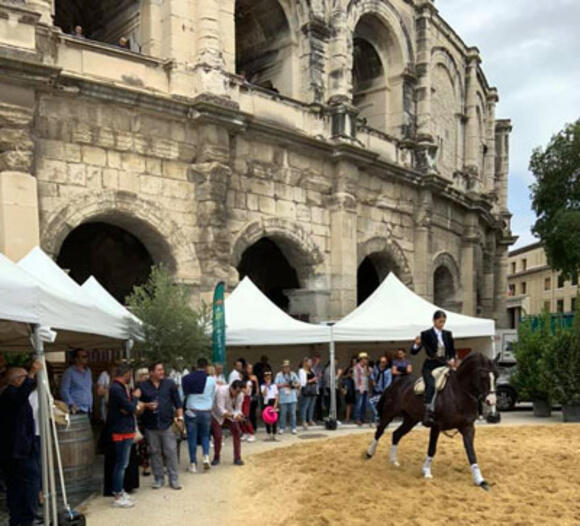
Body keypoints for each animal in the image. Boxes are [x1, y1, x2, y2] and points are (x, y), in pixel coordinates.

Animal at [368, 352, 498, 492]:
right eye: (483, 376)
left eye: (496, 376)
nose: (491, 400)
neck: (458, 393)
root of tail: (396, 384)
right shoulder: (436, 426)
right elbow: (432, 448)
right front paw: (426, 471)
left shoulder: (468, 427)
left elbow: (471, 452)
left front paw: (480, 481)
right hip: (389, 414)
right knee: (379, 431)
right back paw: (369, 453)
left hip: (410, 419)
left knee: (396, 434)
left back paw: (393, 461)